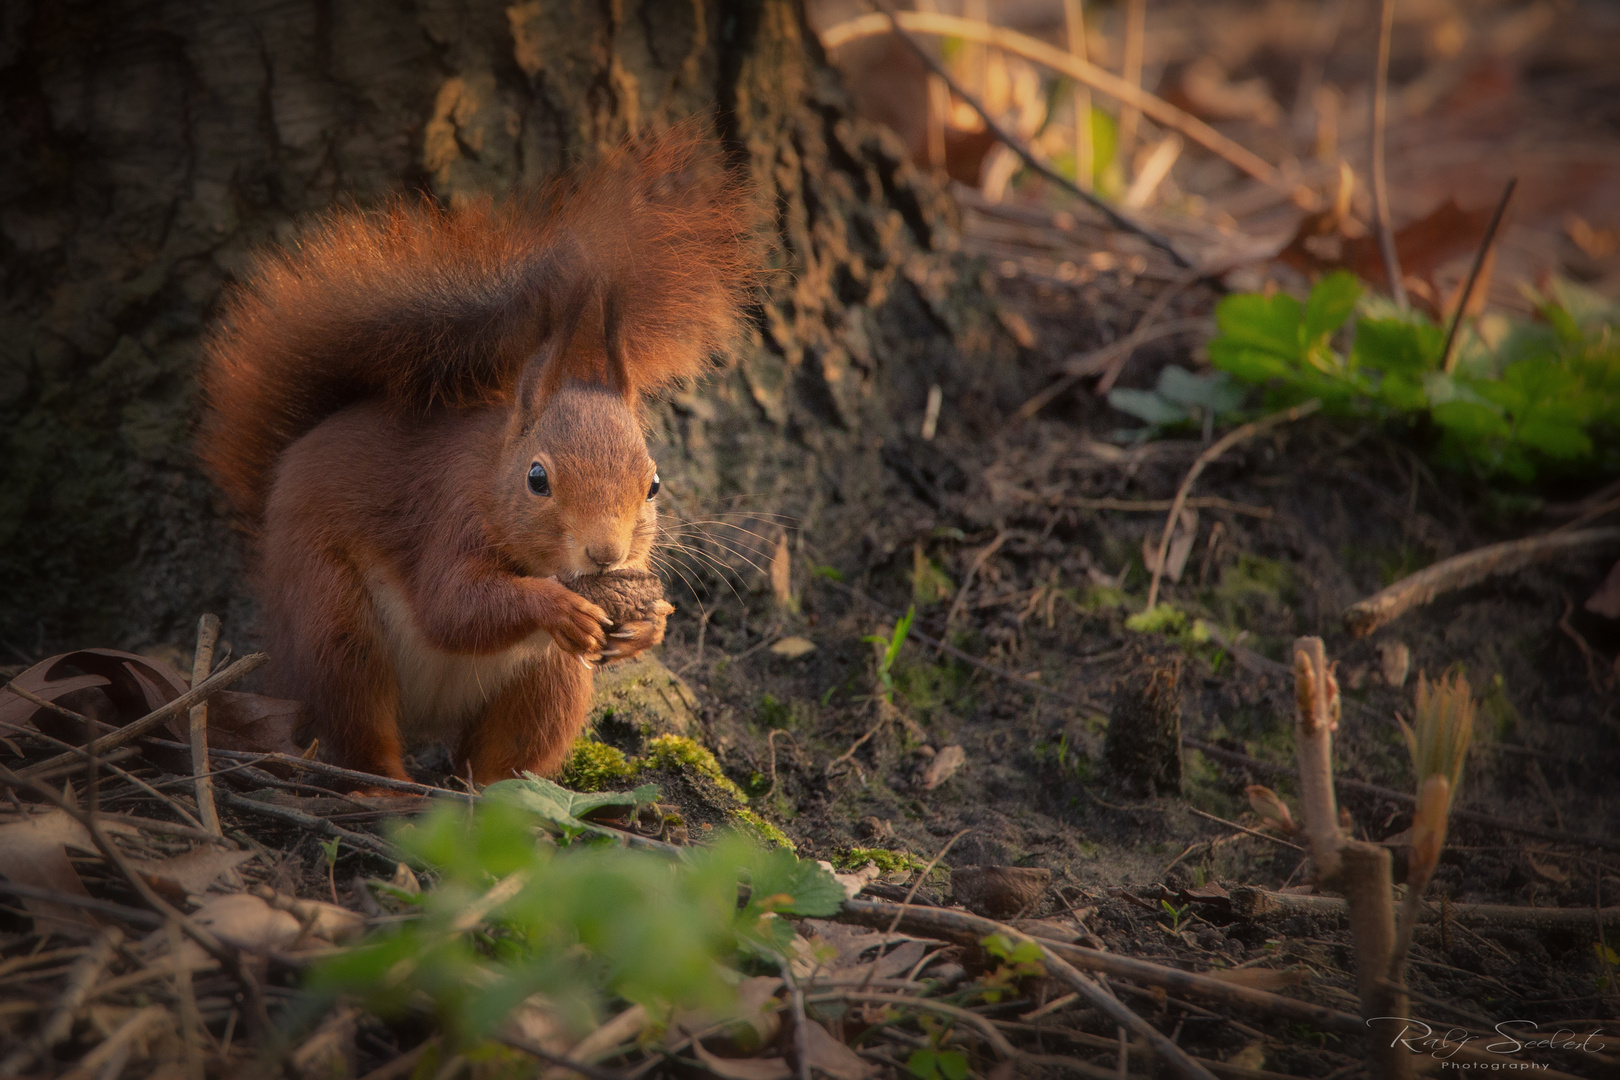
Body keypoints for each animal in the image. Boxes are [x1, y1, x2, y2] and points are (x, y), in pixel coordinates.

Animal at [199, 131, 754, 786]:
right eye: (537, 478)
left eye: (655, 485)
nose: (605, 554)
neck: (494, 480)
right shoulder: (449, 513)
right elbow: (452, 607)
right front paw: (556, 606)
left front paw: (650, 624)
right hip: (330, 621)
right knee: (358, 724)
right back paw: (388, 790)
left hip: (548, 682)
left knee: (505, 755)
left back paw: (499, 797)